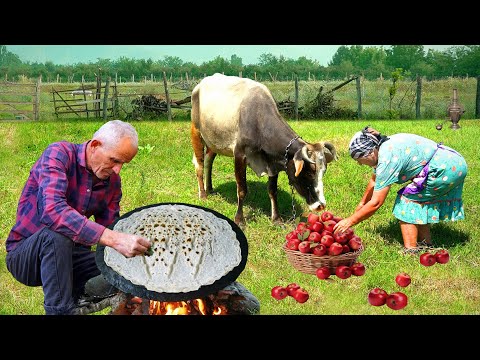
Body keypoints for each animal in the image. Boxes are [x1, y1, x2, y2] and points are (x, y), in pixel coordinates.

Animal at [189, 72, 336, 225]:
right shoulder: (239, 155)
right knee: (199, 164)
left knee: (208, 161)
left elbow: (272, 190)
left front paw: (276, 218)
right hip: (196, 132)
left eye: (323, 172)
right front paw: (239, 219)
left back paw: (210, 188)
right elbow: (242, 189)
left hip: (214, 141)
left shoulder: (273, 161)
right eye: (309, 173)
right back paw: (203, 194)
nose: (321, 205)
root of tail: (200, 84)